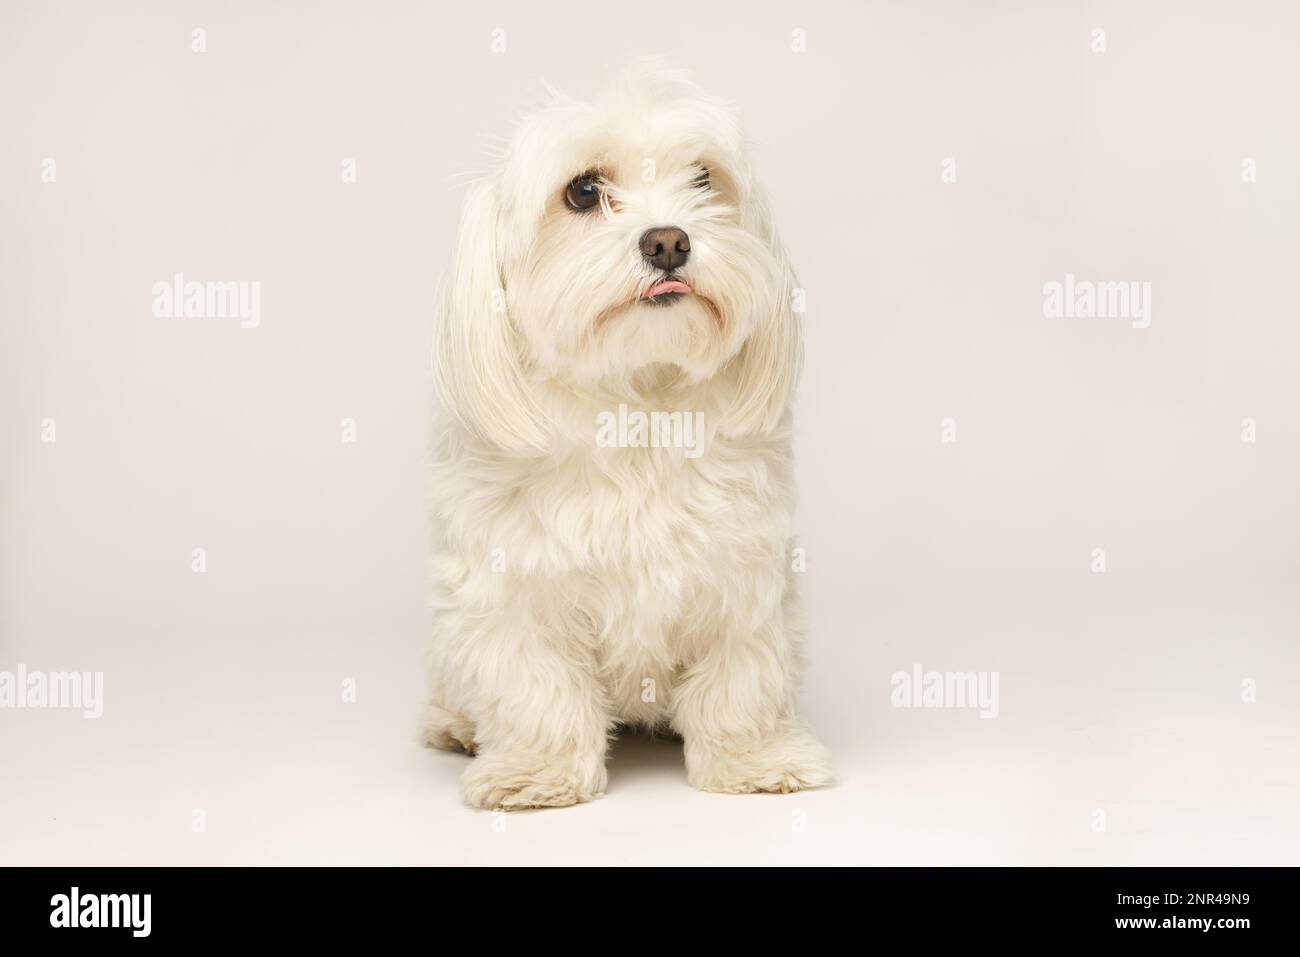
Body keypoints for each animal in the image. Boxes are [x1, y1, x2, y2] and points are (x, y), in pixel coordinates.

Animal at [426, 59, 832, 806]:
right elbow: (537, 687)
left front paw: (756, 760)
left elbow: (742, 680)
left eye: (703, 180)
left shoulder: (745, 577)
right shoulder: (512, 588)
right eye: (584, 191)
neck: (638, 405)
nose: (668, 240)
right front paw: (539, 770)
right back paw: (455, 725)